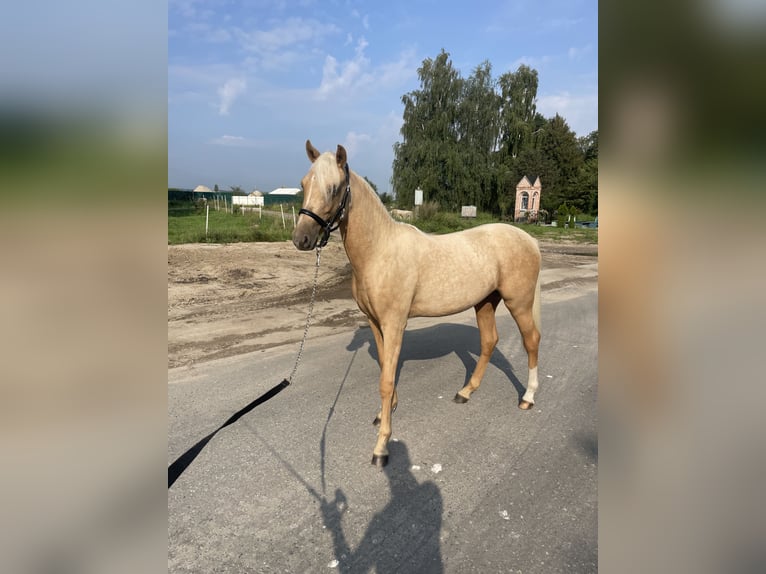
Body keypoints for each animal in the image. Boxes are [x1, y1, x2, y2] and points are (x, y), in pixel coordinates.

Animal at [293, 141, 542, 467]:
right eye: (303, 184)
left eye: (334, 188)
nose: (301, 239)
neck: (379, 251)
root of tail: (529, 239)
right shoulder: (376, 323)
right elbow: (385, 367)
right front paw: (384, 413)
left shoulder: (394, 323)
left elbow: (386, 380)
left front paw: (381, 447)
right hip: (486, 302)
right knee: (489, 341)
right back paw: (465, 392)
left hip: (519, 302)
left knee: (531, 341)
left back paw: (527, 398)